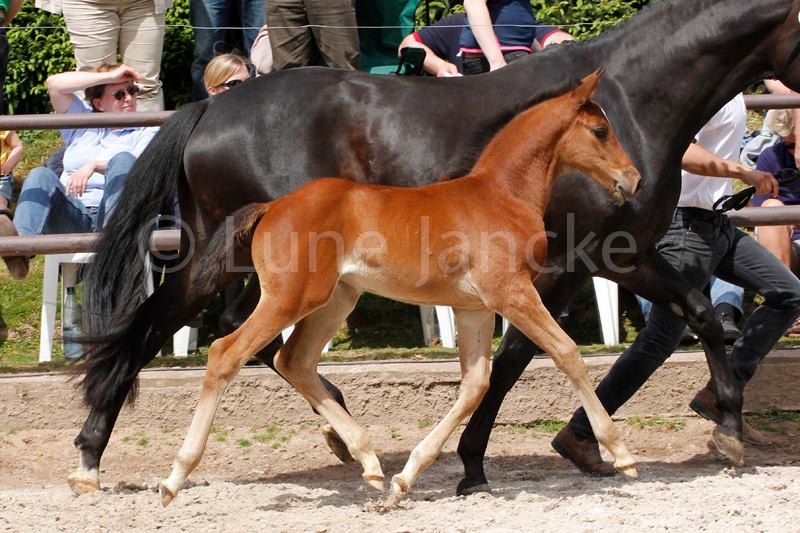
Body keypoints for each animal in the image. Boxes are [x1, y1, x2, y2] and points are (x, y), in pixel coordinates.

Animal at [159, 69, 640, 502]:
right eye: (601, 131)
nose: (633, 179)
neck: (500, 196)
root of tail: (272, 206)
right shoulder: (512, 293)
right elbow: (567, 353)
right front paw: (620, 454)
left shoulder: (475, 308)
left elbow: (475, 383)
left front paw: (407, 477)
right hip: (291, 298)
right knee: (227, 353)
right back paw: (175, 477)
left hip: (336, 299)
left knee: (293, 360)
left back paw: (370, 463)